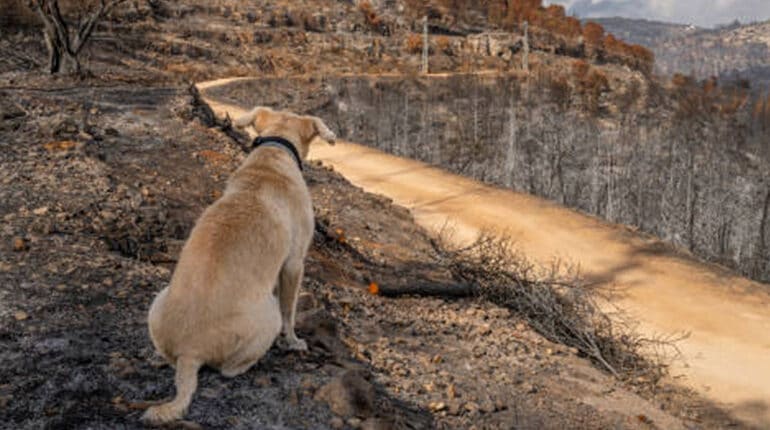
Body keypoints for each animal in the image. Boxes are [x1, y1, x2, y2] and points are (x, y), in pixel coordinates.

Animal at [142, 106, 334, 424]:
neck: (271, 157)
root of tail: (189, 352)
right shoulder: (294, 264)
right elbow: (290, 311)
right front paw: (294, 341)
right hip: (267, 315)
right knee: (228, 369)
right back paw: (251, 364)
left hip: (157, 300)